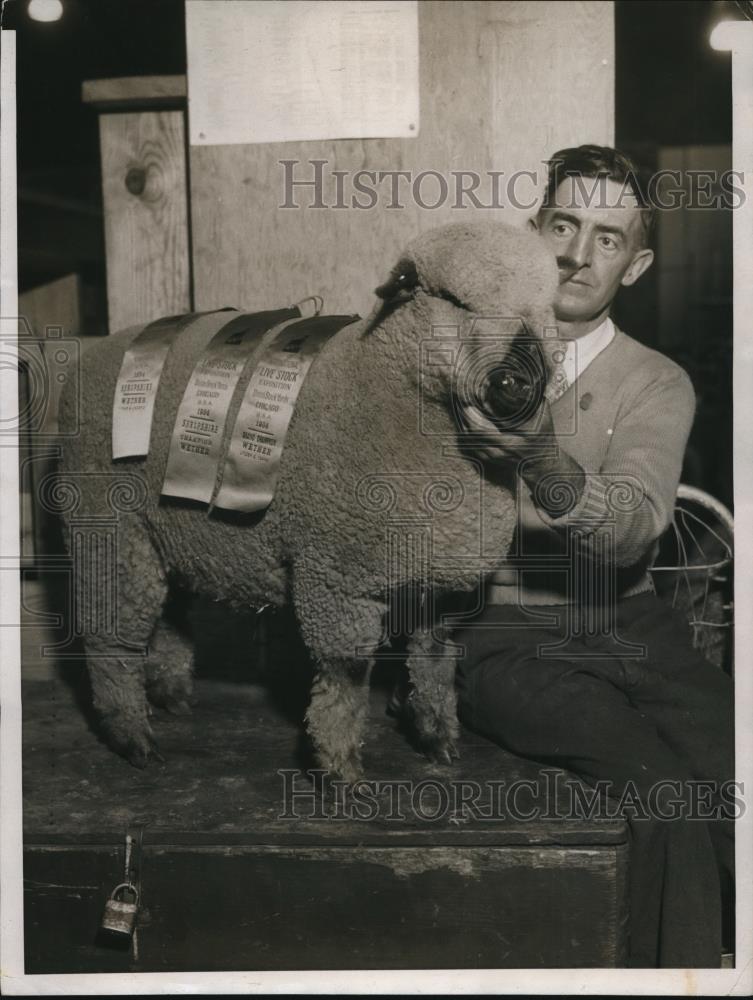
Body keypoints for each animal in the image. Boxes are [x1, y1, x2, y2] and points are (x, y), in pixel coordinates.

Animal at [55, 223, 556, 784]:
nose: (521, 382)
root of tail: (102, 350)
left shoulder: (440, 588)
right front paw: (339, 769)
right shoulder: (337, 577)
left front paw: (437, 739)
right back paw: (130, 734)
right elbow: (346, 677)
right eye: (454, 299)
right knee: (110, 633)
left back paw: (169, 694)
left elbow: (433, 664)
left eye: (547, 308)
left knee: (166, 612)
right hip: (108, 524)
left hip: (164, 530)